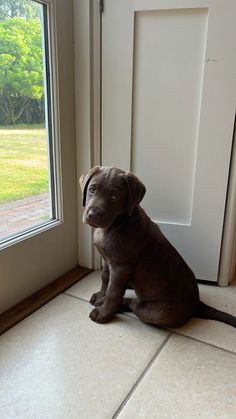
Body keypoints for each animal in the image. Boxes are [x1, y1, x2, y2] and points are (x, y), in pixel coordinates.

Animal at [79, 166, 236, 330]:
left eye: (115, 195)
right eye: (92, 189)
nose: (93, 215)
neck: (116, 223)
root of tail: (197, 304)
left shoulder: (120, 268)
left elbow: (113, 292)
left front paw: (103, 312)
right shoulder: (107, 259)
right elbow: (105, 278)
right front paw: (100, 294)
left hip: (159, 312)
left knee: (135, 304)